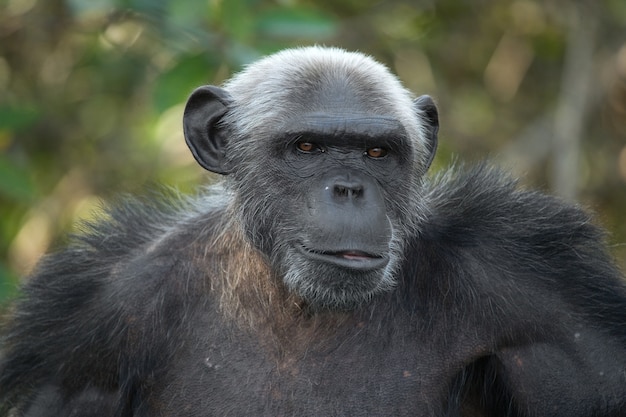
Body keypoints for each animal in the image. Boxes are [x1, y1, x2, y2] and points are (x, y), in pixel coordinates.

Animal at [1, 46, 624, 416]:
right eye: (306, 147)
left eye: (377, 152)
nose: (348, 188)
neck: (295, 303)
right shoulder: (88, 332)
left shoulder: (538, 290)